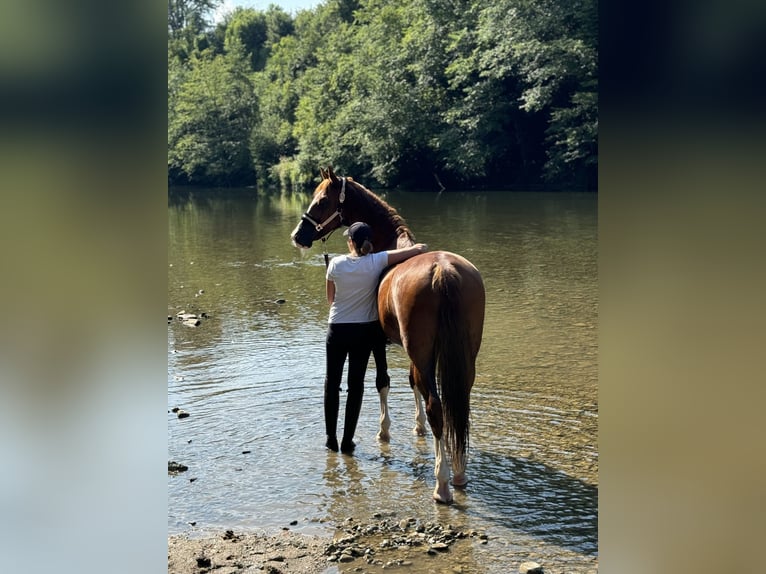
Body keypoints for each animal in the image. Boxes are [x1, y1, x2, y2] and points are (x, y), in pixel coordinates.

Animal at [290, 166, 486, 504]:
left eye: (322, 201)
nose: (298, 236)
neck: (393, 248)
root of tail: (444, 271)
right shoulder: (419, 353)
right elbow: (412, 382)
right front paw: (418, 428)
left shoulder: (377, 340)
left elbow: (383, 382)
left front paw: (384, 431)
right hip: (461, 356)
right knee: (457, 402)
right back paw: (459, 473)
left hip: (421, 350)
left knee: (437, 406)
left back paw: (442, 484)